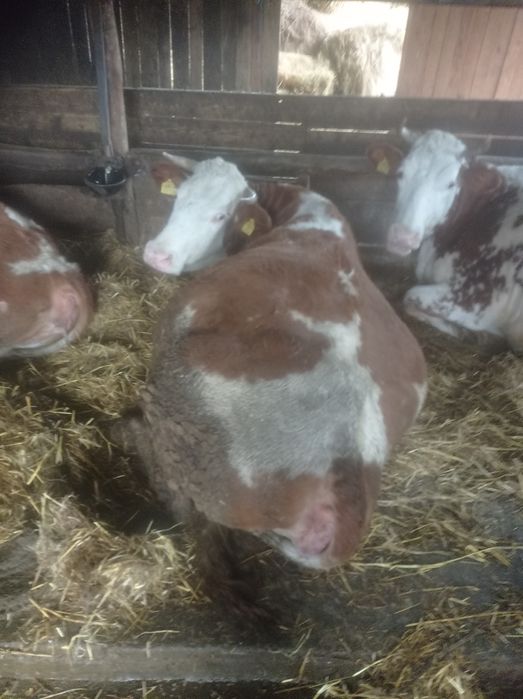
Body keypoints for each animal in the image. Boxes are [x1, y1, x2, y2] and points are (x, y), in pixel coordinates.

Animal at [368, 128, 523, 353]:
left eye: (450, 184)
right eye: (400, 173)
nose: (402, 238)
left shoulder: (479, 300)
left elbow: (409, 296)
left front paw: (482, 335)